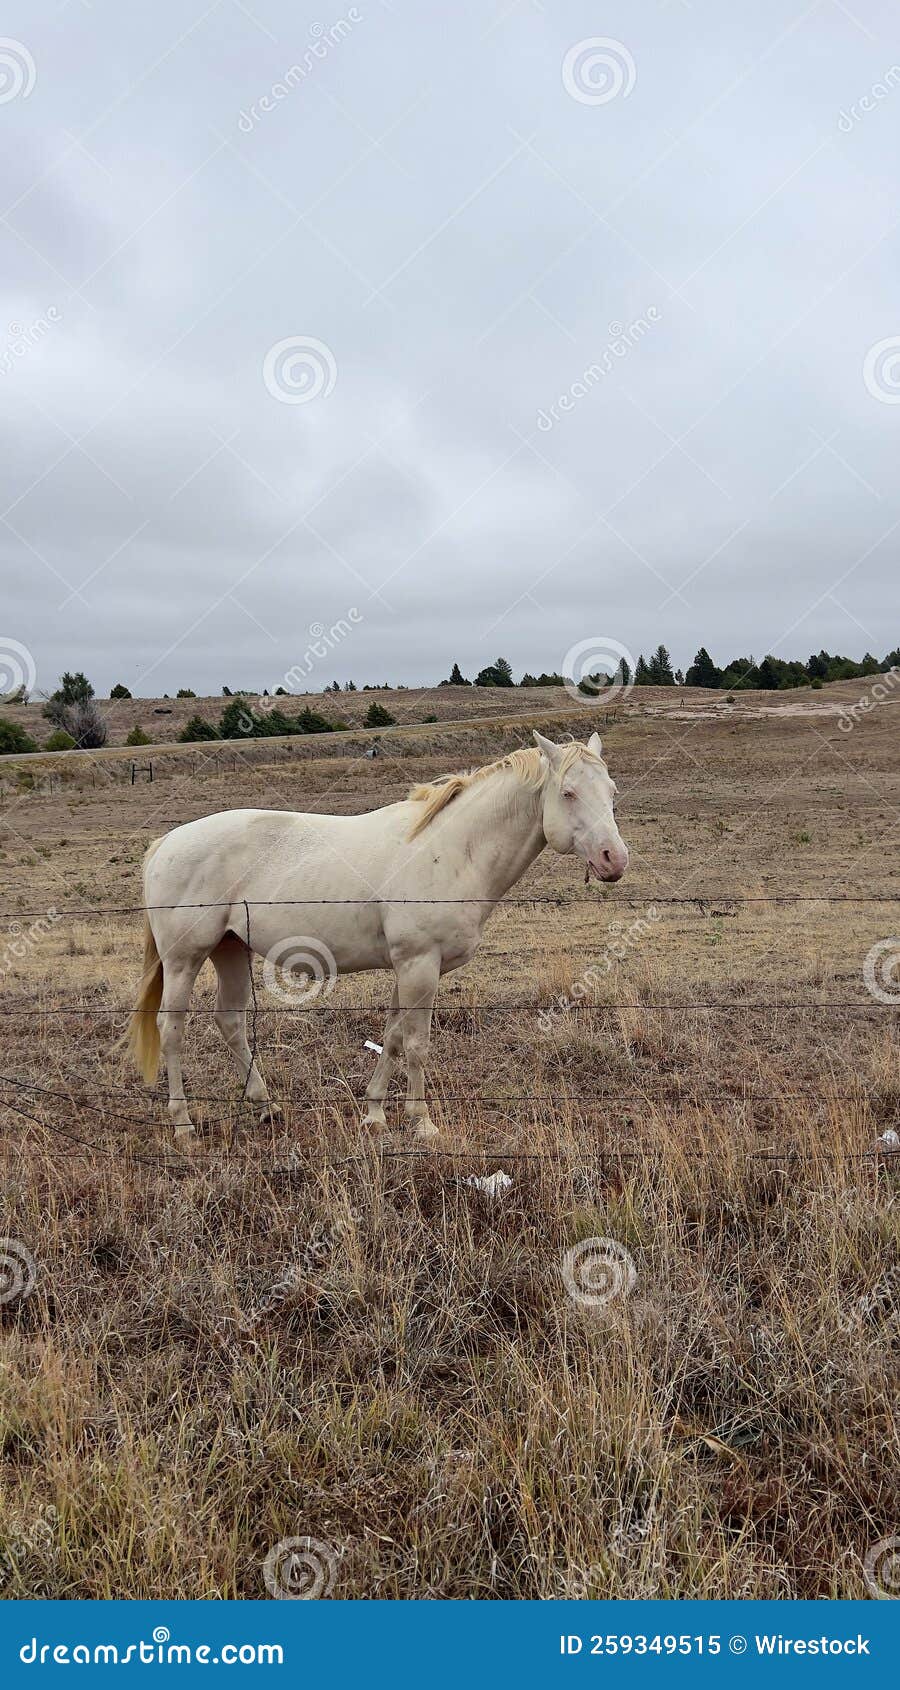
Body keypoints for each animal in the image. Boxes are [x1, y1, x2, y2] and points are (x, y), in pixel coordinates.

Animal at [119, 730, 629, 1143]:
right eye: (568, 793)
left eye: (611, 792)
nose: (614, 859)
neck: (452, 849)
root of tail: (165, 844)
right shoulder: (420, 965)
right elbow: (417, 1042)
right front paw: (422, 1122)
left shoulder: (410, 967)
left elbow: (393, 1036)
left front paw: (375, 1114)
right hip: (184, 959)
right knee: (172, 1029)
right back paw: (183, 1124)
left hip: (230, 950)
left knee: (230, 1022)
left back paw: (266, 1107)